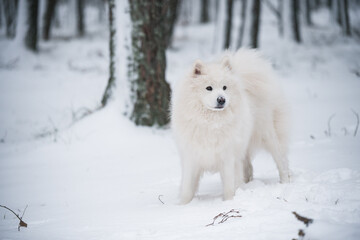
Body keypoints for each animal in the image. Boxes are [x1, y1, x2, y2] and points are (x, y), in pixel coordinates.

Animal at [170, 48, 292, 204]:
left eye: (224, 87)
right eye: (209, 88)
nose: (221, 99)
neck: (211, 123)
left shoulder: (227, 157)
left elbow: (228, 184)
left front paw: (228, 202)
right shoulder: (192, 157)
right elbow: (187, 187)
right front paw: (183, 205)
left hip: (268, 136)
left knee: (281, 162)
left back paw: (285, 183)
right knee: (248, 168)